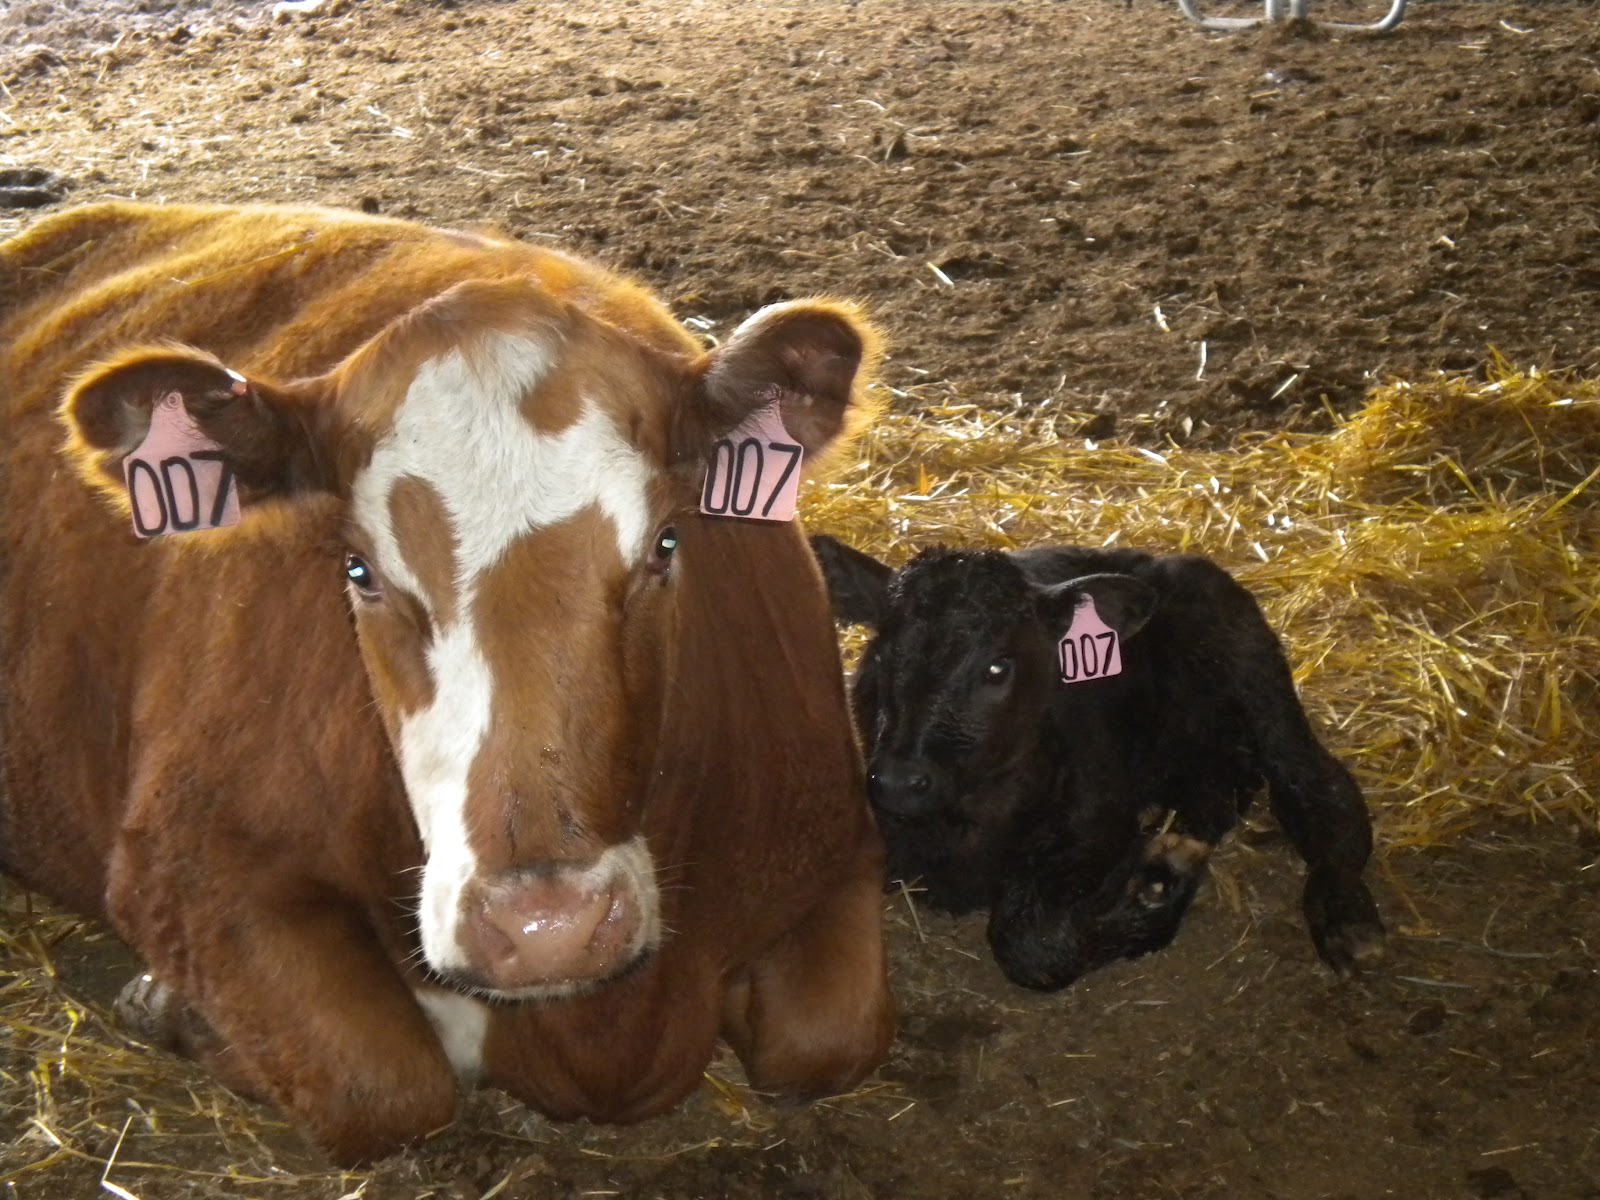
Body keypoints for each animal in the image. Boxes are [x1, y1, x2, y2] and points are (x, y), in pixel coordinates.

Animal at [0, 202, 894, 1164]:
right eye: (359, 571)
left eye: (665, 543)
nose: (549, 929)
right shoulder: (188, 864)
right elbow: (386, 1088)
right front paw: (173, 1007)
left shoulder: (840, 838)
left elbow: (828, 1040)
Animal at [809, 535, 1385, 991]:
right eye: (882, 655)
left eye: (998, 667)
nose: (899, 781)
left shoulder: (1101, 817)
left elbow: (1033, 943)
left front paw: (1146, 897)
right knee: (1222, 787)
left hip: (1253, 664)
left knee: (1313, 779)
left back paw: (1346, 916)